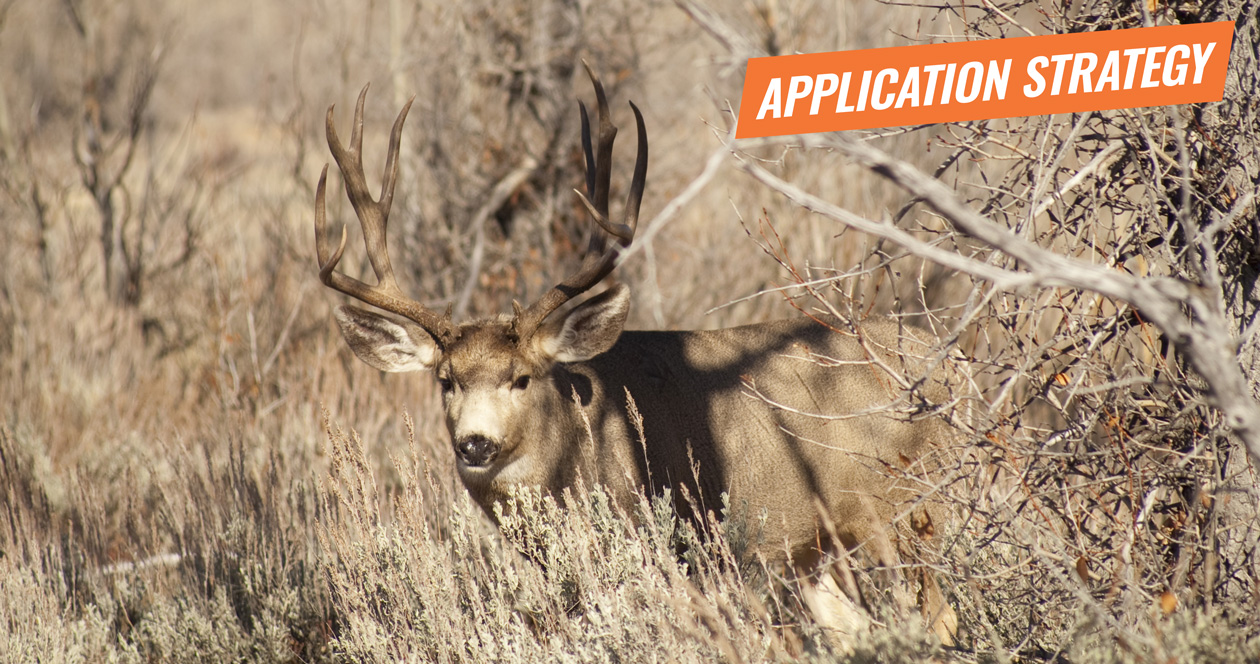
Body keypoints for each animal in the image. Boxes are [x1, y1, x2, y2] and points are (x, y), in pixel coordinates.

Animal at [314, 64, 961, 643]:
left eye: (522, 378)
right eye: (446, 380)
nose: (475, 443)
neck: (578, 457)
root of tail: (946, 360)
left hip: (907, 508)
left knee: (938, 617)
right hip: (820, 551)